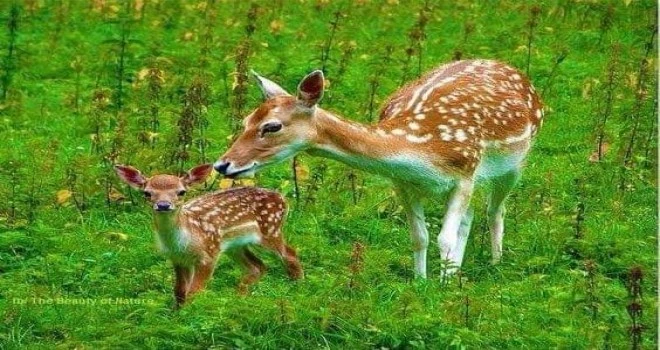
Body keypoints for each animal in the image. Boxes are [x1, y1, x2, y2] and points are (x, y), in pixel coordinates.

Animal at [214, 60, 544, 278]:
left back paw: (495, 264)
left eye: (272, 126)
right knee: (472, 215)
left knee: (495, 209)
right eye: (246, 120)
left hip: (515, 161)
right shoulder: (404, 183)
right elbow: (420, 236)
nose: (222, 164)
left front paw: (443, 292)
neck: (420, 148)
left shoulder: (464, 172)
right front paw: (422, 283)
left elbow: (444, 238)